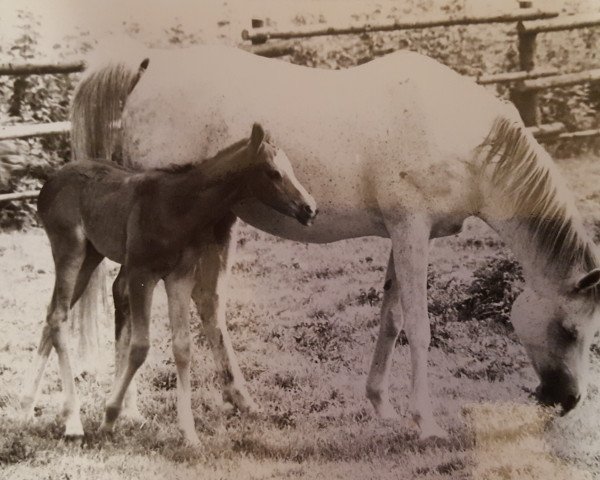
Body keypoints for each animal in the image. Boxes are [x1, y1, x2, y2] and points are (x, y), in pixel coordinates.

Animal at [65, 41, 600, 438]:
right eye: (570, 330)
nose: (569, 401)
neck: (459, 138)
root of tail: (148, 67)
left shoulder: (403, 234)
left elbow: (391, 319)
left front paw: (381, 405)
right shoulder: (413, 231)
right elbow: (420, 327)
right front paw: (426, 423)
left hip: (217, 226)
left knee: (206, 303)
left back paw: (242, 401)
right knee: (129, 295)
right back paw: (129, 411)